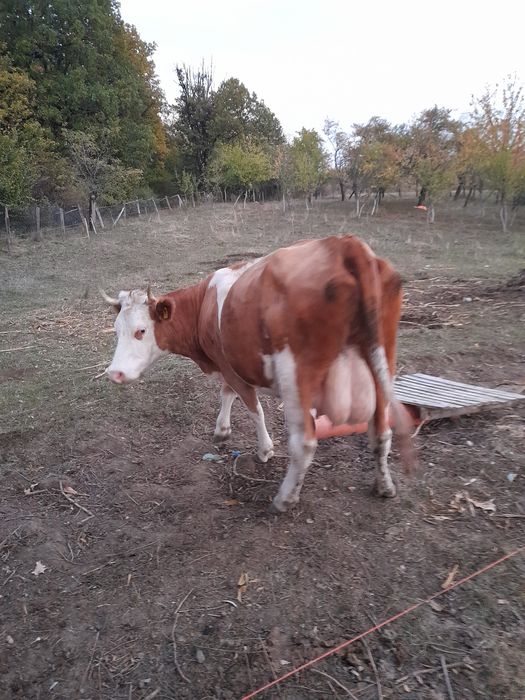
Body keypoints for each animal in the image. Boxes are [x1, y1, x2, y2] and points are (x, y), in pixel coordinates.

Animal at [103, 234, 413, 513]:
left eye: (141, 330)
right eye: (116, 330)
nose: (114, 373)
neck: (203, 304)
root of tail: (344, 244)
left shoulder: (231, 367)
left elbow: (253, 409)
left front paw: (264, 450)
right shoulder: (226, 362)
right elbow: (227, 394)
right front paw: (222, 430)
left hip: (296, 378)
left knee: (304, 443)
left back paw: (284, 499)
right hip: (382, 361)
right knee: (381, 431)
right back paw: (384, 486)